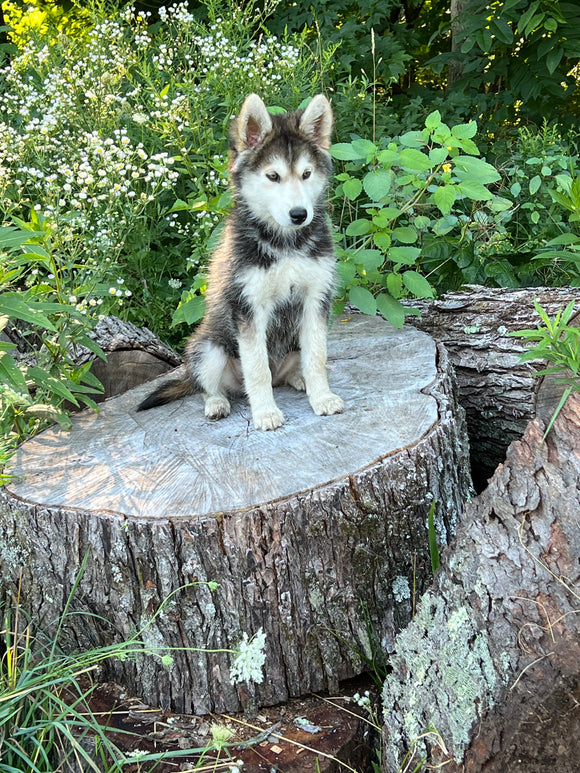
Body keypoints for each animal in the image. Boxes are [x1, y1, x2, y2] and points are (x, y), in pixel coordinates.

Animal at [136, 94, 344, 432]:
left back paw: (297, 378)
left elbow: (317, 358)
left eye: (306, 174)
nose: (299, 214)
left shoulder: (316, 299)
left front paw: (322, 397)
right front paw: (265, 413)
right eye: (273, 176)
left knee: (287, 372)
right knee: (207, 386)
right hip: (209, 348)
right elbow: (257, 369)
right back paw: (217, 403)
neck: (285, 245)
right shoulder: (248, 307)